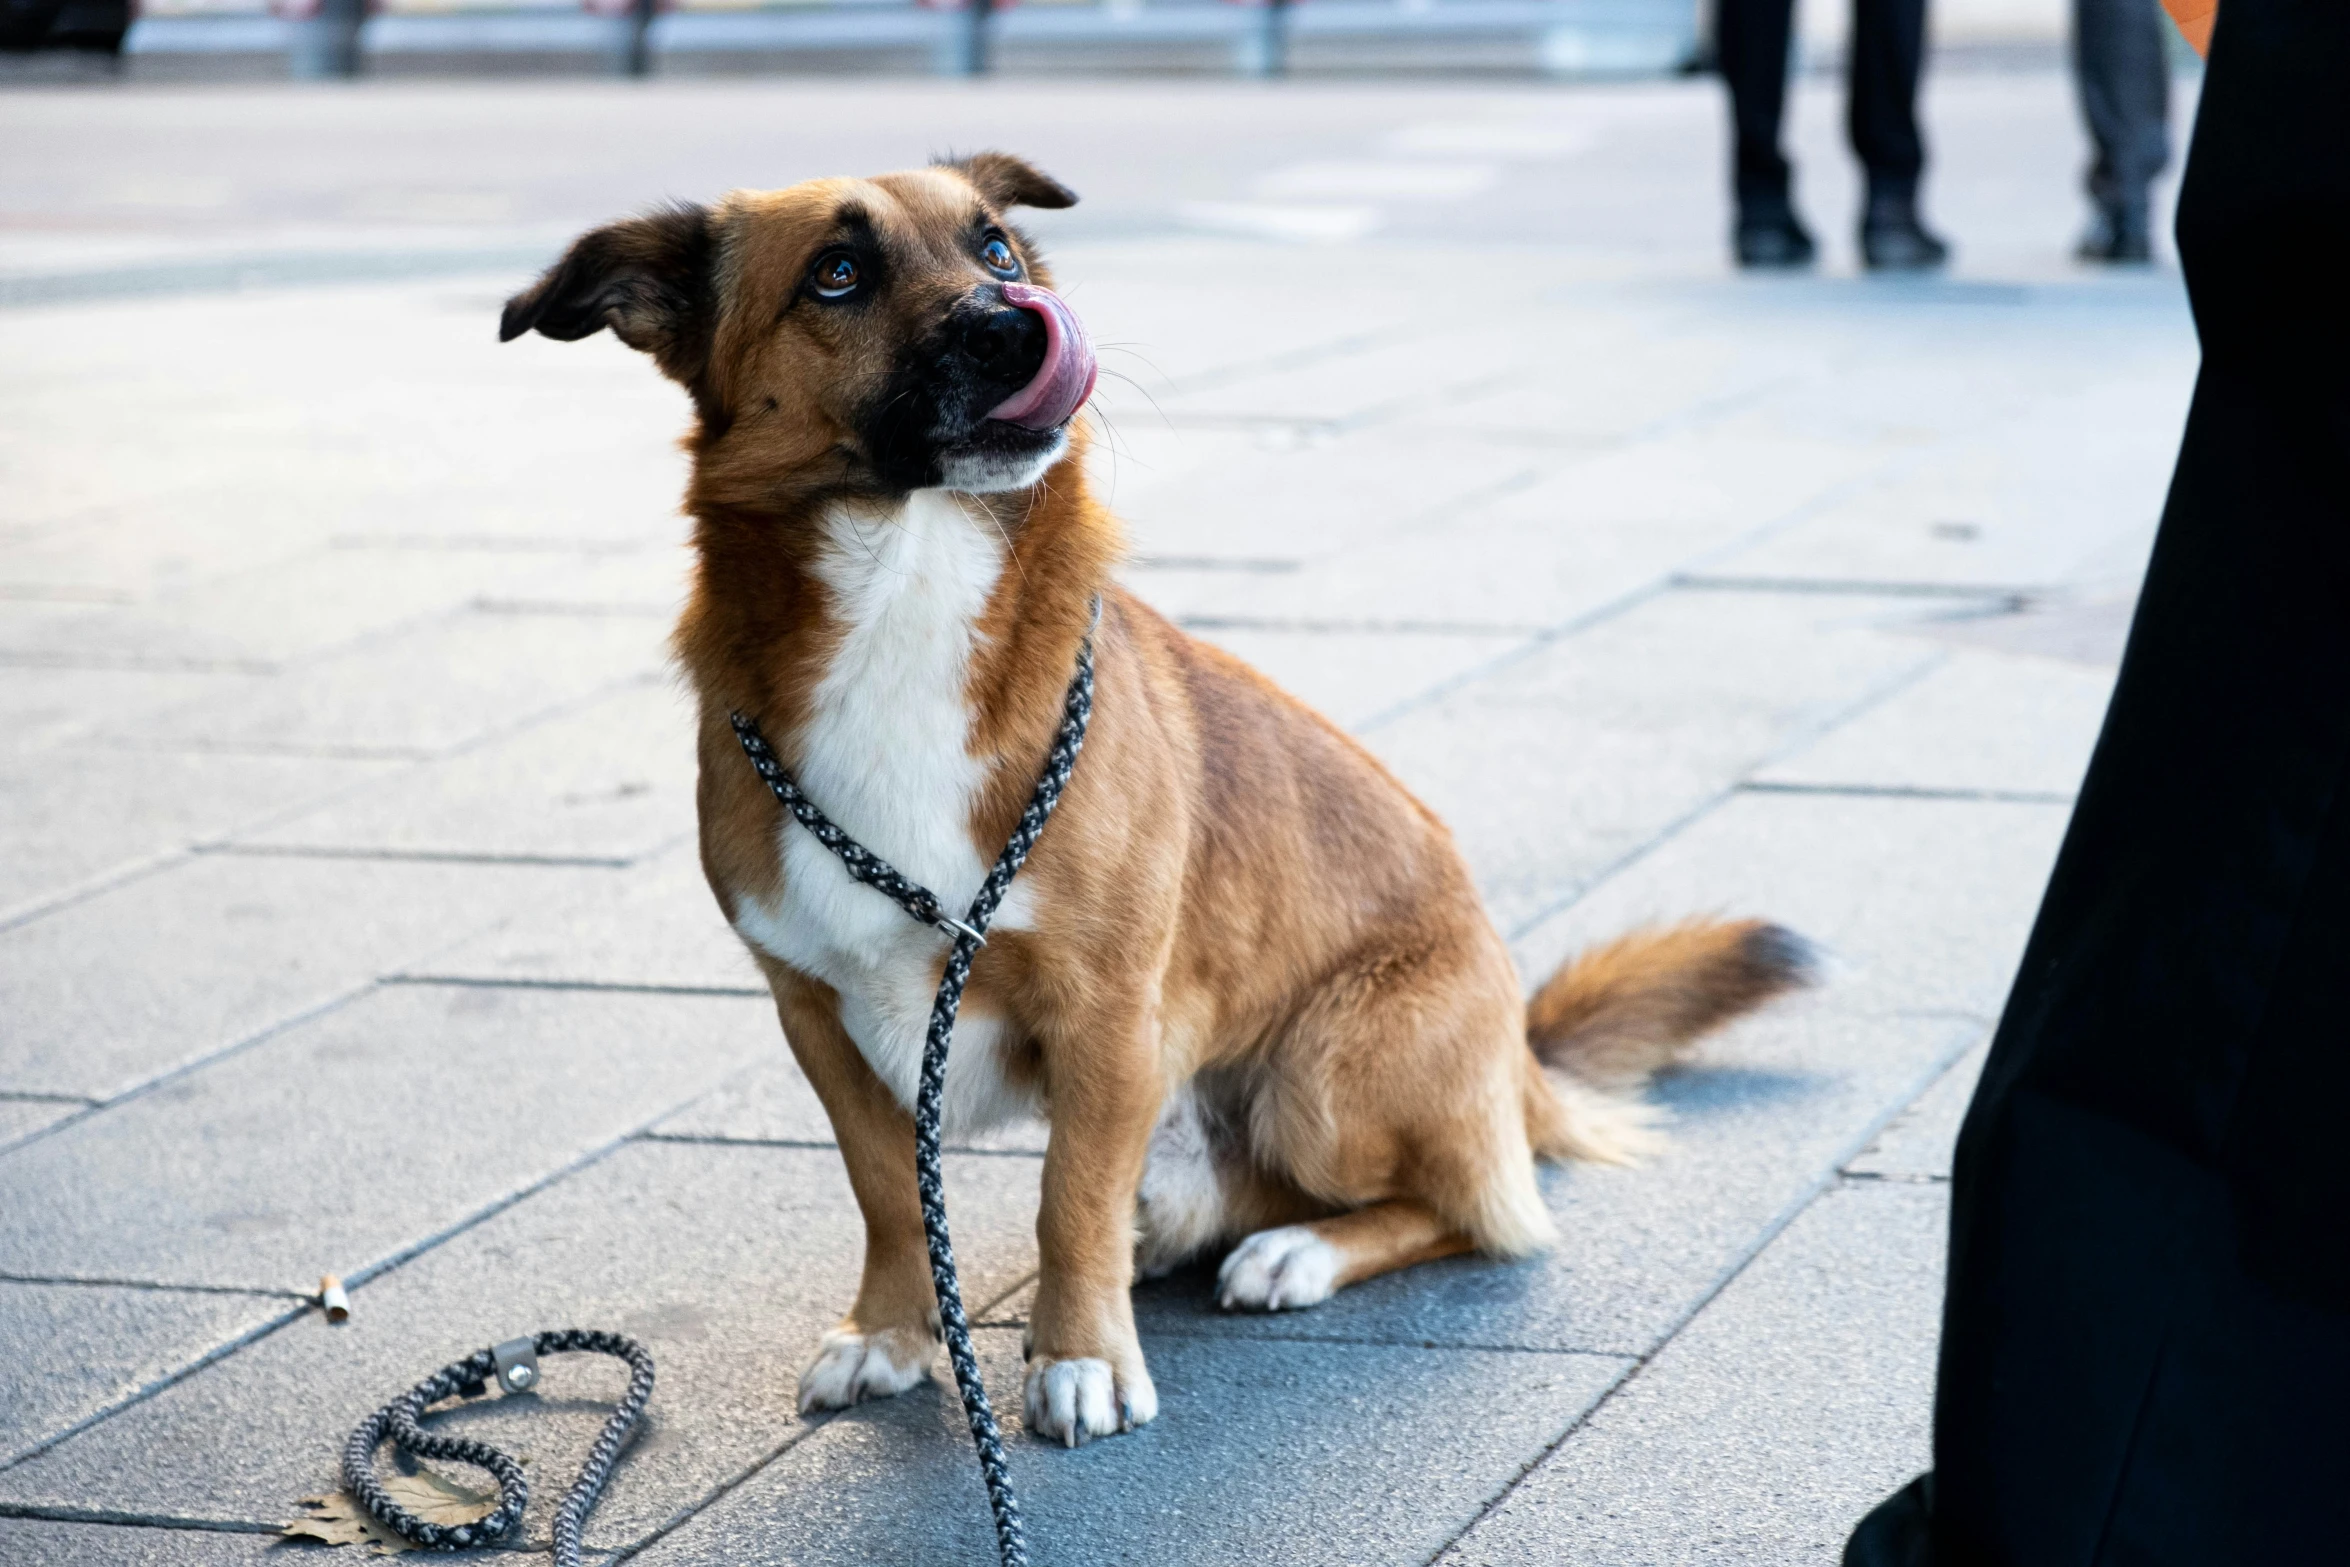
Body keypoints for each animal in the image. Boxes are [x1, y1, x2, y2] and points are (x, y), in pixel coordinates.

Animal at [505, 156, 1804, 1447]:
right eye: (836, 272)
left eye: (994, 247)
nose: (1018, 323)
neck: (907, 588)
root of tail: (1518, 1055)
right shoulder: (820, 1014)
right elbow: (888, 1192)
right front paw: (893, 1332)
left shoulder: (1108, 1011)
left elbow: (1066, 1196)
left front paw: (1079, 1356)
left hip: (1323, 1073)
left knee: (1468, 1209)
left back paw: (1295, 1253)